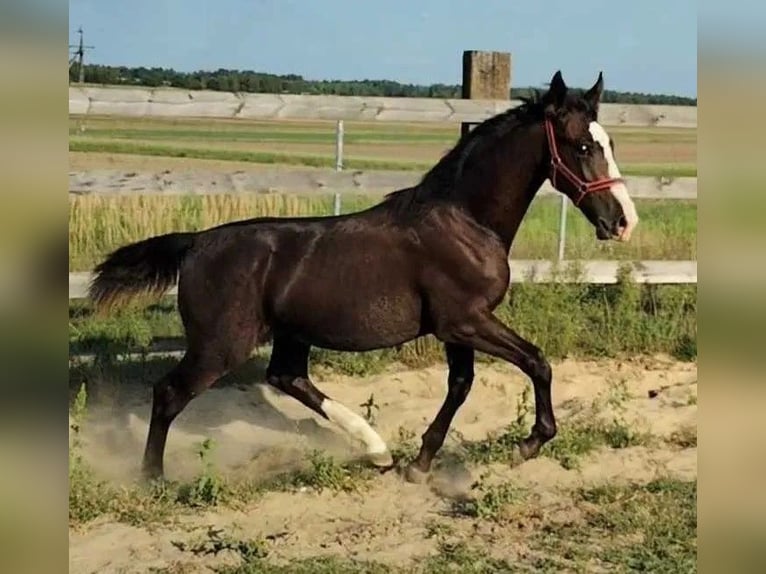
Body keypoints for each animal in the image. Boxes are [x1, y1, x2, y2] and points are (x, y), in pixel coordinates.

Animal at [90, 72, 640, 486]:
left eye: (611, 143)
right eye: (582, 145)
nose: (623, 222)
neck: (464, 221)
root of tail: (196, 243)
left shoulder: (457, 326)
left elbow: (462, 385)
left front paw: (420, 464)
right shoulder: (465, 320)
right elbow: (536, 362)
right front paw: (528, 444)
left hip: (290, 335)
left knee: (286, 377)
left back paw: (378, 451)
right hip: (220, 345)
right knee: (169, 393)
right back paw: (152, 479)